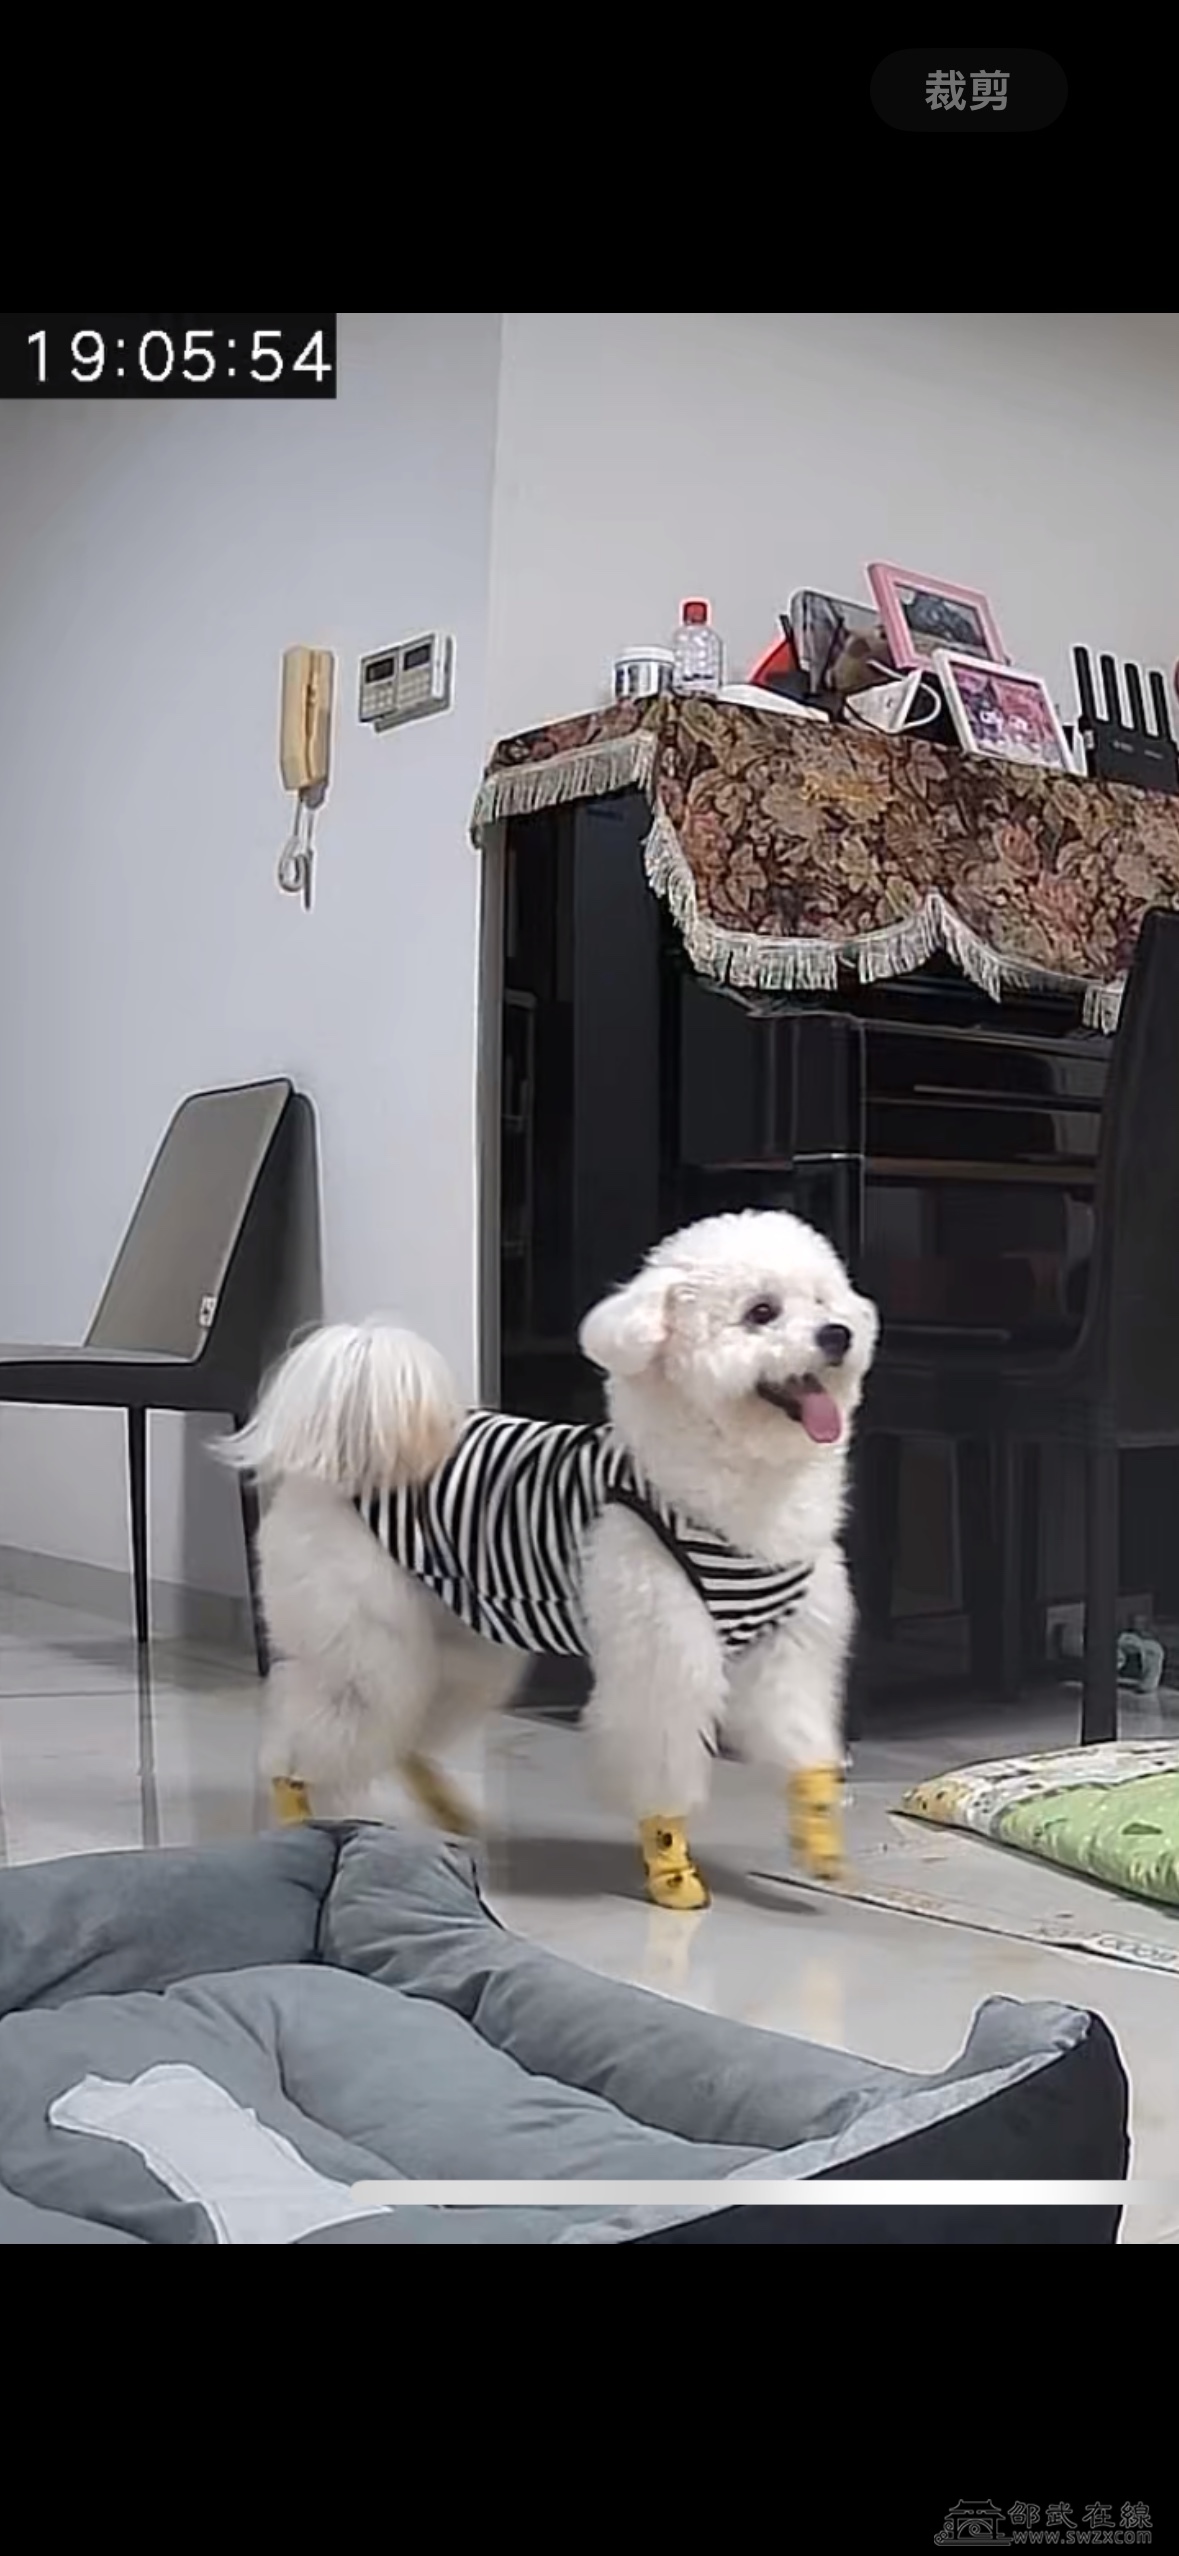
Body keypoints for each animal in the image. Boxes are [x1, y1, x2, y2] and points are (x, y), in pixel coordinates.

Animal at [225, 1208, 878, 1910]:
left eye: (824, 1301)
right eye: (761, 1312)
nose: (838, 1334)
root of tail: (346, 1448)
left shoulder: (789, 1647)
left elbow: (801, 1737)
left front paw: (818, 1832)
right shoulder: (663, 1657)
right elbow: (661, 1761)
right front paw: (670, 1865)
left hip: (460, 1644)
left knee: (410, 1728)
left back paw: (445, 1805)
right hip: (362, 1643)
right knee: (318, 1728)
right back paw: (296, 1811)